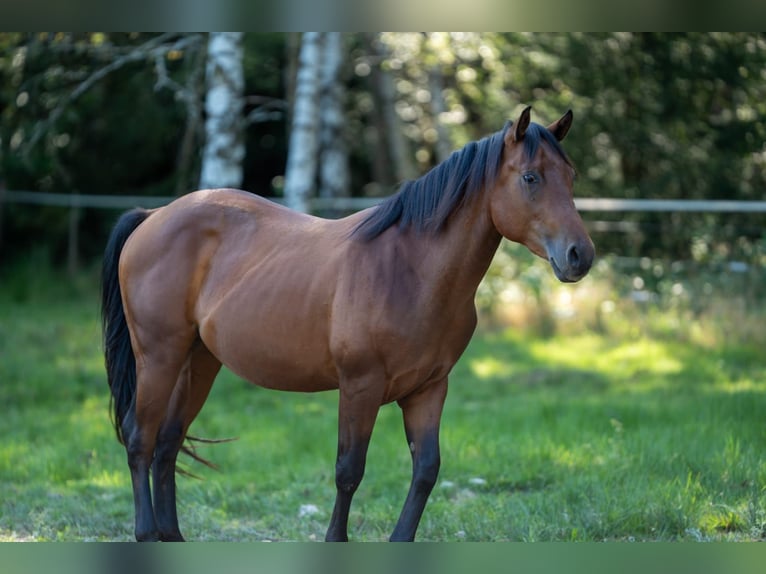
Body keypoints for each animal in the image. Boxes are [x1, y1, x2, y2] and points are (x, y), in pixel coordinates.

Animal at [100, 108, 592, 544]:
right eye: (531, 178)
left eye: (571, 177)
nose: (580, 255)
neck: (410, 269)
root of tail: (153, 217)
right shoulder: (360, 386)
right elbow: (349, 471)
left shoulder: (429, 389)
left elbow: (426, 471)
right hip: (158, 357)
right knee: (140, 440)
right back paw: (147, 534)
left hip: (198, 361)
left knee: (167, 444)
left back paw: (173, 536)